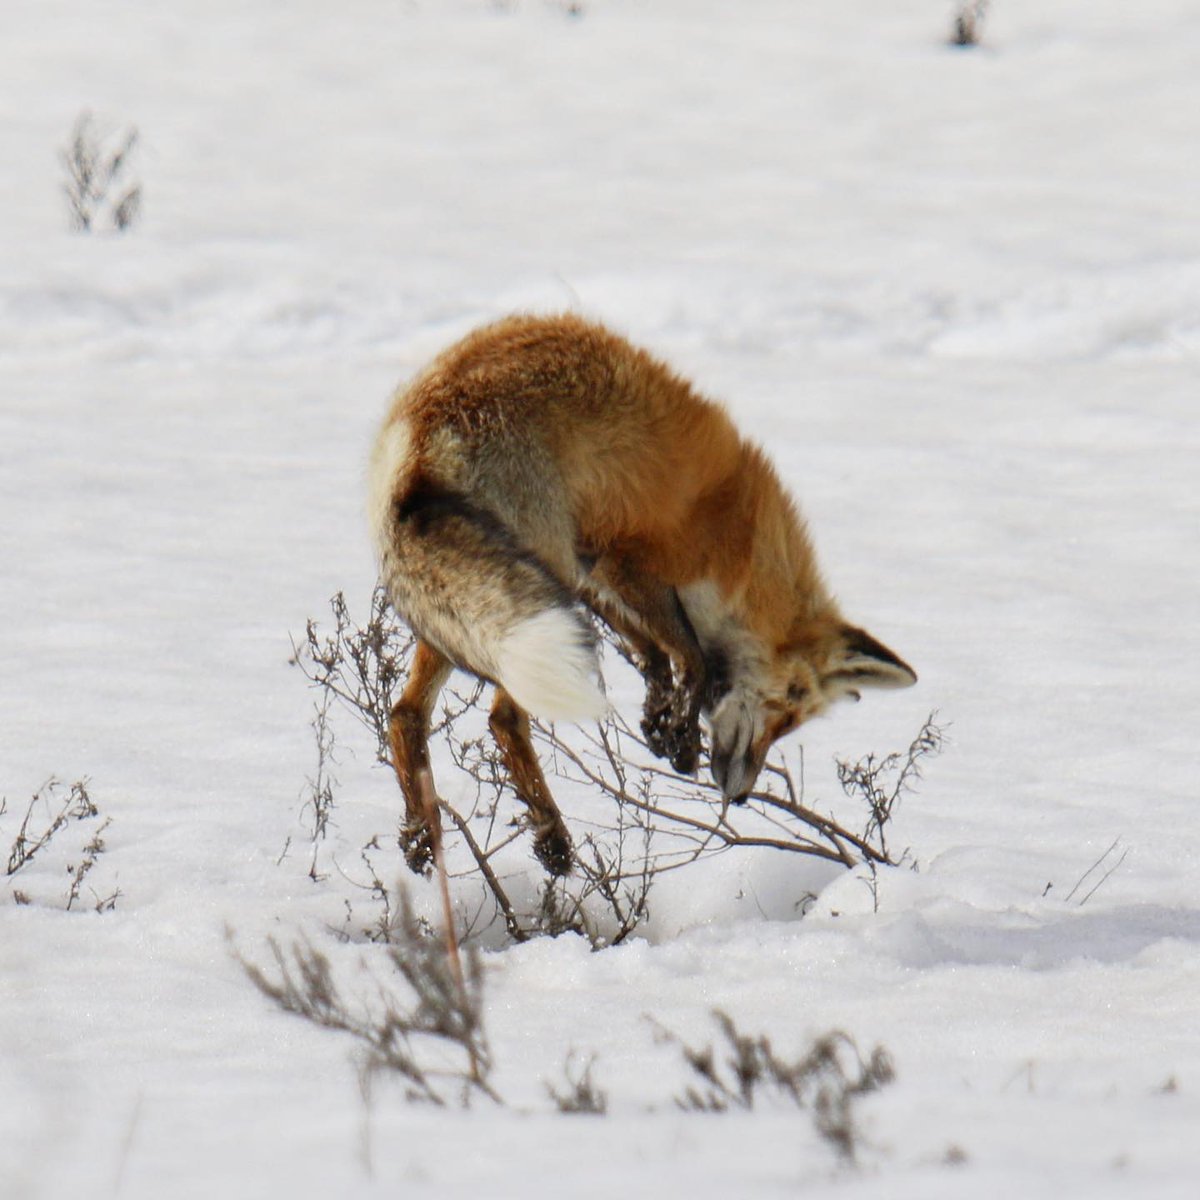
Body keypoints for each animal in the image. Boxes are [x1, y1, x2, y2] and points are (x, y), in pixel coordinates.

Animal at [369, 314, 912, 878]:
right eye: (786, 711)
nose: (741, 795)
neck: (742, 546)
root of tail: (427, 427)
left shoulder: (593, 572)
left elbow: (652, 649)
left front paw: (658, 718)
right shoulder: (630, 561)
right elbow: (693, 656)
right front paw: (681, 737)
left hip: (487, 601)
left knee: (406, 716)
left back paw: (420, 837)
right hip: (537, 574)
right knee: (504, 719)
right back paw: (553, 840)